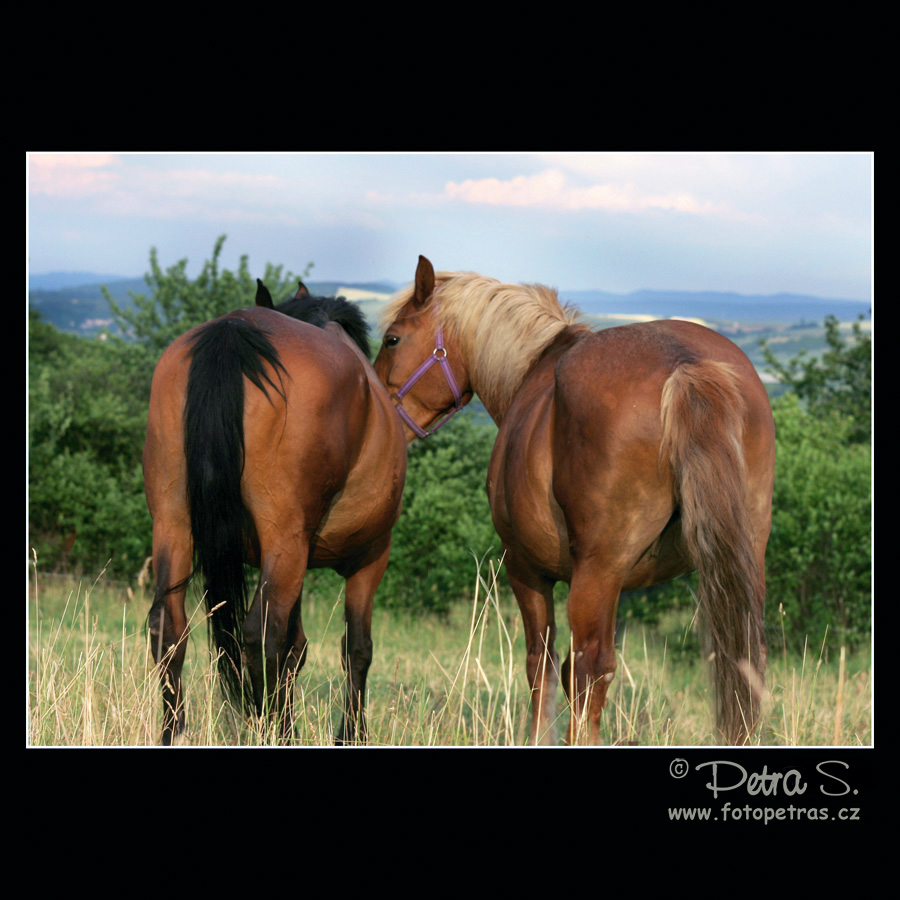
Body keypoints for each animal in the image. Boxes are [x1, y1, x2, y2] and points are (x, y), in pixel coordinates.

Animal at [143, 282, 404, 744]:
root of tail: (234, 330)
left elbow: (297, 649)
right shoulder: (369, 558)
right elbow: (356, 648)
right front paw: (350, 734)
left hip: (173, 524)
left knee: (168, 628)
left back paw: (176, 732)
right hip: (285, 541)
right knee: (264, 635)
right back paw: (274, 731)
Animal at [372, 255, 772, 744]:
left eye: (392, 339)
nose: (378, 412)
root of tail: (686, 365)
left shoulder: (525, 568)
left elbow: (541, 665)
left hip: (598, 571)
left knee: (588, 667)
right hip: (742, 556)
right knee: (744, 661)